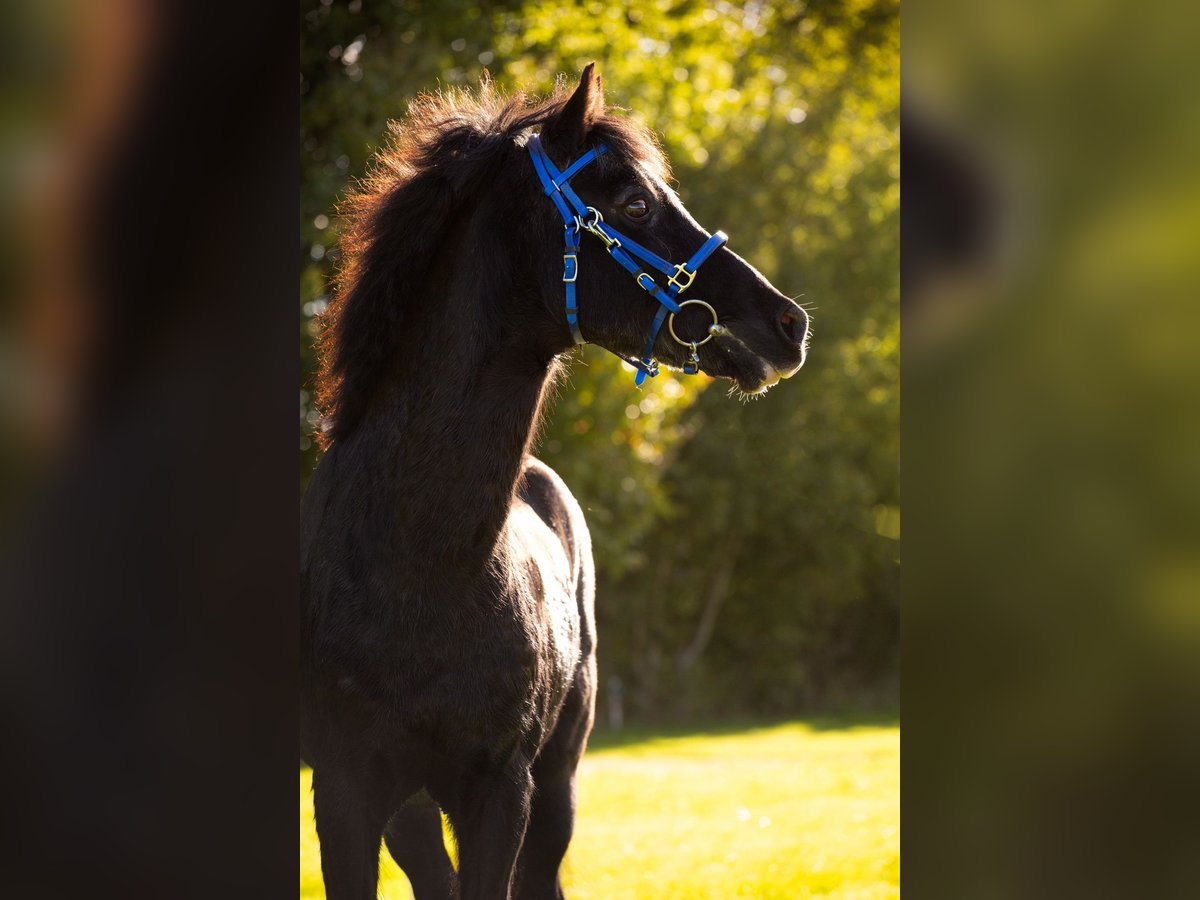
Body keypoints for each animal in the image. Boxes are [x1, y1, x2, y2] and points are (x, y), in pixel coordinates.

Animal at [300, 65, 806, 900]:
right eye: (634, 202)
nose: (788, 324)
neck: (410, 565)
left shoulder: (502, 789)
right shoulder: (346, 793)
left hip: (556, 785)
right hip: (417, 811)